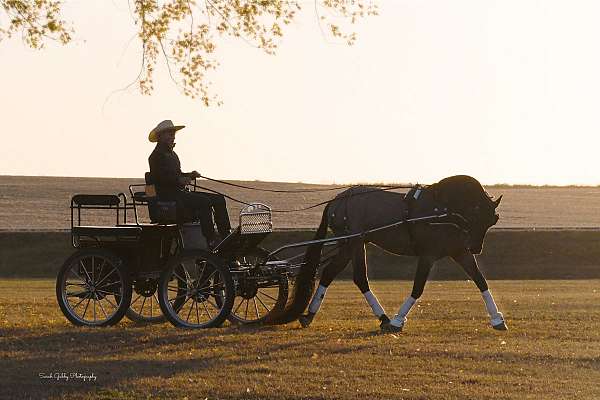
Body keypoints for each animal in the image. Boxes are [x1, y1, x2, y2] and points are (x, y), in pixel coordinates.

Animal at [268, 174, 506, 332]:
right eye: (475, 215)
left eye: (491, 220)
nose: (476, 247)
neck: (444, 210)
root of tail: (338, 200)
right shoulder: (428, 255)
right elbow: (418, 288)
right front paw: (398, 320)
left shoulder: (459, 251)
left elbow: (480, 280)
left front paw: (497, 319)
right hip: (355, 241)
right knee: (360, 278)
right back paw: (383, 317)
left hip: (348, 244)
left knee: (329, 273)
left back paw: (310, 314)